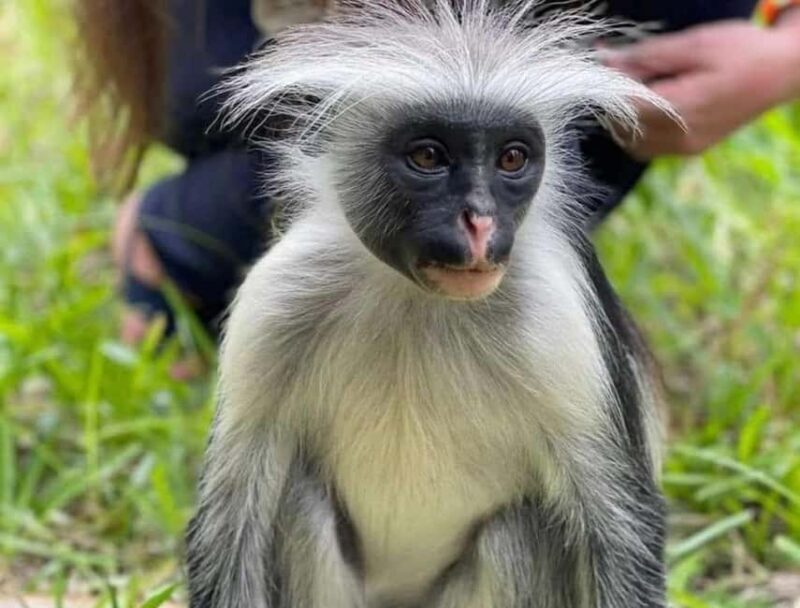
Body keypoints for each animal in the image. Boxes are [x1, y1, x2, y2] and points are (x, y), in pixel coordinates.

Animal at [185, 1, 674, 606]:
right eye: (428, 156)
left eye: (512, 159)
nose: (480, 222)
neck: (420, 301)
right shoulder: (280, 295)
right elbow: (229, 521)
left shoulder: (558, 314)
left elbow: (621, 528)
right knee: (302, 501)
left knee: (515, 531)